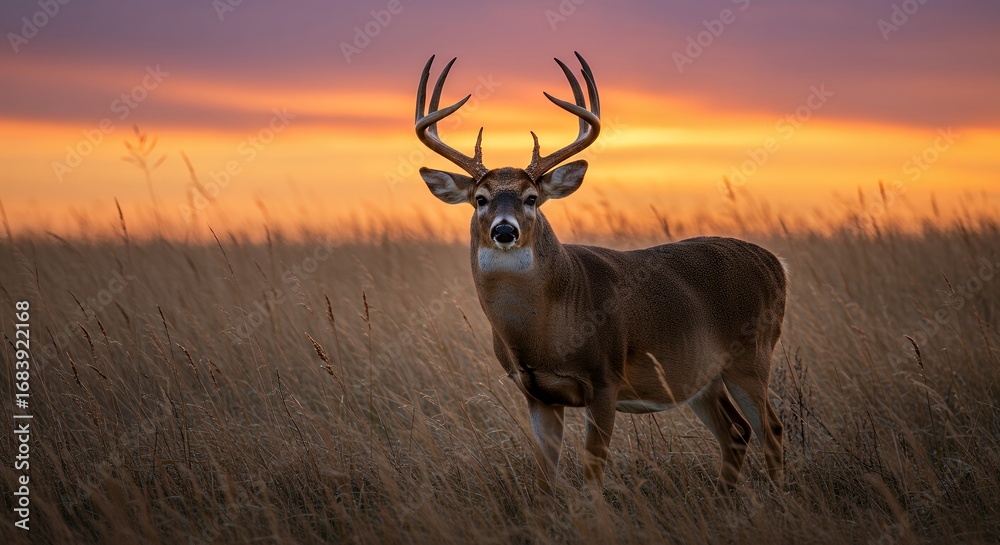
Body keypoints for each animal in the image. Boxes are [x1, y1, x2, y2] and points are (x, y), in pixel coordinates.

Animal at [414, 52, 788, 496]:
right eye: (480, 200)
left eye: (532, 198)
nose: (505, 230)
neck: (544, 334)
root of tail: (776, 265)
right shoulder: (536, 394)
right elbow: (544, 478)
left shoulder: (605, 380)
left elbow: (593, 472)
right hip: (701, 376)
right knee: (737, 432)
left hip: (752, 356)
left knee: (772, 430)